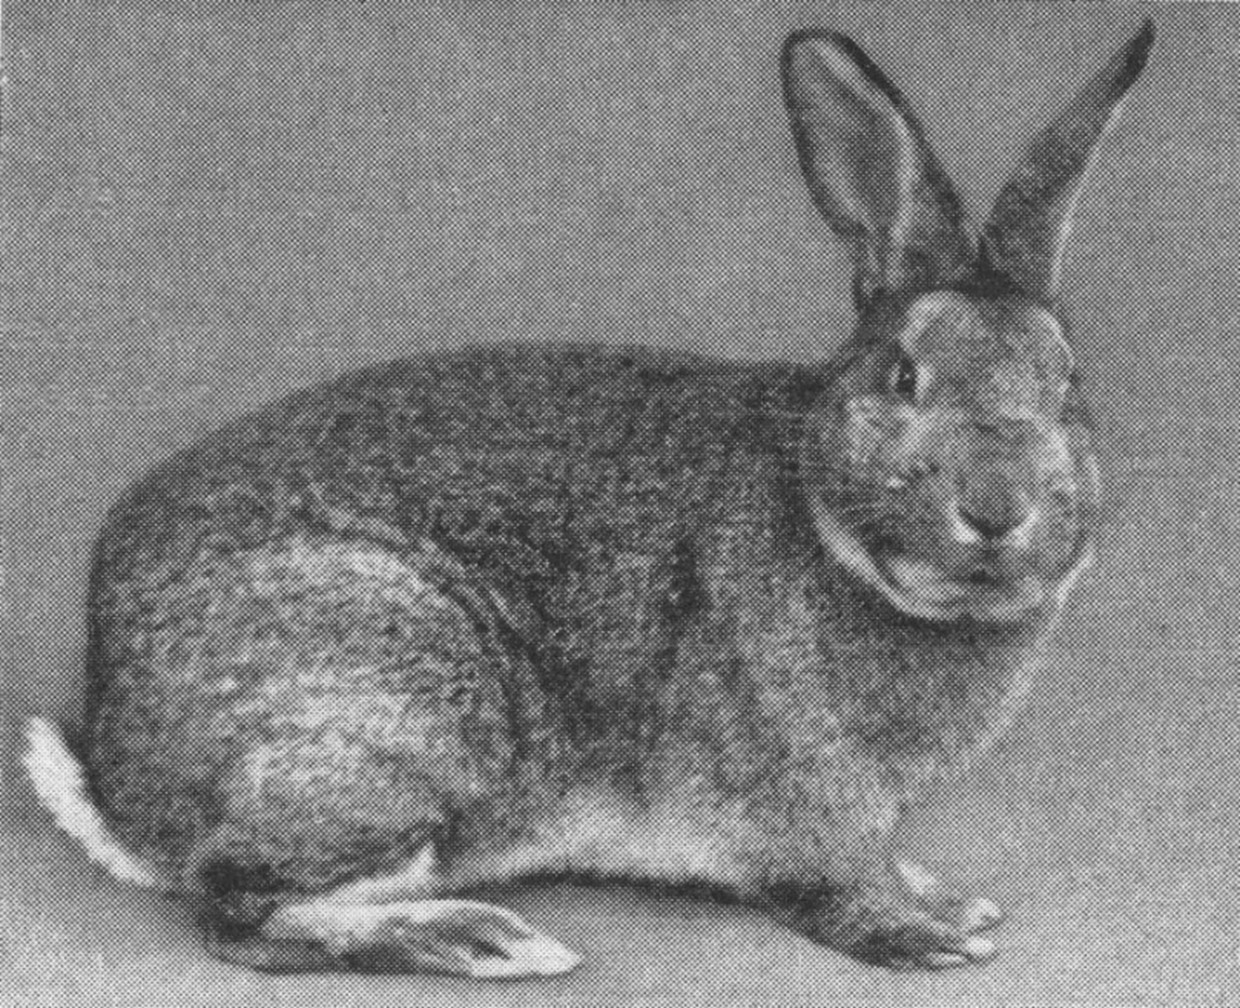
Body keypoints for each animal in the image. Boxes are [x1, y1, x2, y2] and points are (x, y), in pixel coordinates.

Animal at [24, 20, 1153, 977]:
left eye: (1069, 386)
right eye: (903, 376)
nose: (999, 507)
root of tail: (119, 779)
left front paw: (946, 899)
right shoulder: (800, 798)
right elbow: (830, 884)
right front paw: (924, 936)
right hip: (396, 722)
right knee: (234, 909)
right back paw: (473, 939)